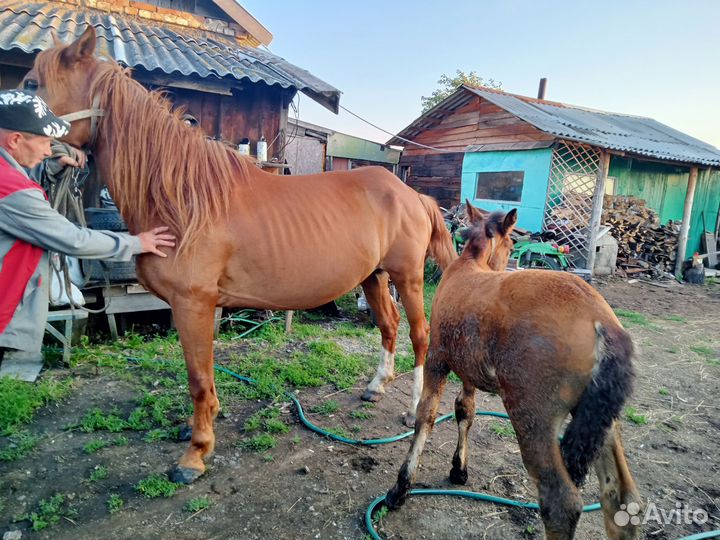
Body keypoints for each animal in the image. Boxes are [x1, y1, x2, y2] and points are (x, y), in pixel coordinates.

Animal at [26, 27, 457, 483]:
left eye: (32, 84)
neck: (183, 200)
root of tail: (411, 193)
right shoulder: (201, 307)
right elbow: (203, 373)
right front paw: (198, 428)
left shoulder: (193, 303)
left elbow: (198, 377)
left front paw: (195, 455)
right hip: (373, 276)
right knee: (388, 325)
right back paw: (376, 386)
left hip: (407, 276)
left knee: (419, 334)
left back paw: (413, 410)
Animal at [385, 204, 642, 540]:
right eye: (510, 246)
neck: (468, 265)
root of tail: (602, 320)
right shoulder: (469, 371)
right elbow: (465, 410)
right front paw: (458, 469)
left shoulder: (437, 360)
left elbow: (426, 415)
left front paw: (401, 487)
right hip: (602, 421)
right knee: (622, 498)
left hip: (532, 417)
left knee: (561, 502)